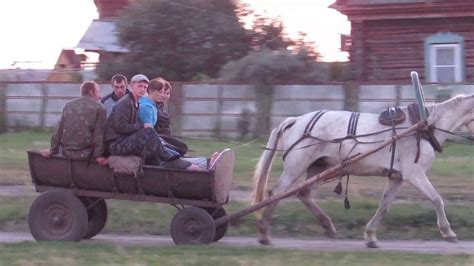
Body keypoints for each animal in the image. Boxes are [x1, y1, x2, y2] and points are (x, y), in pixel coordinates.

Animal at [254, 93, 474, 247]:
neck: (423, 126)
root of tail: (294, 120)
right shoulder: (415, 174)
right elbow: (437, 199)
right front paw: (448, 232)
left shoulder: (397, 177)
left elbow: (384, 206)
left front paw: (371, 236)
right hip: (296, 166)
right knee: (276, 192)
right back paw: (264, 233)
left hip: (319, 167)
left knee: (304, 193)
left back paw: (329, 227)